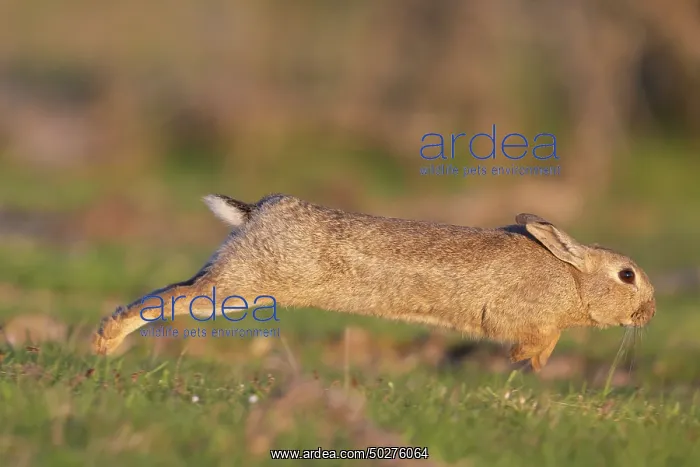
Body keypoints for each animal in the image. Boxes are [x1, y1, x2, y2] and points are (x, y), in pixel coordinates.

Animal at [92, 193, 657, 371]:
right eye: (627, 275)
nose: (650, 312)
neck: (573, 279)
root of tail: (259, 212)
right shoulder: (524, 315)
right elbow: (538, 338)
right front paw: (528, 361)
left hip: (231, 279)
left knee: (170, 290)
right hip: (237, 291)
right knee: (171, 300)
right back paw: (104, 341)